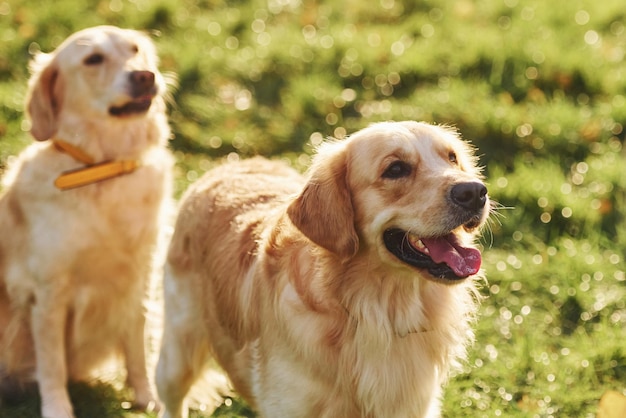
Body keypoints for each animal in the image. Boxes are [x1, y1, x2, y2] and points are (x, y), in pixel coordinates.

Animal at [0, 26, 172, 418]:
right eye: (93, 59)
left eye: (134, 49)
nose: (145, 76)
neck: (104, 169)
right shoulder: (48, 292)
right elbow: (52, 364)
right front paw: (57, 408)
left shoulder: (138, 280)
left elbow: (137, 350)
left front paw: (147, 397)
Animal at [155, 121, 488, 418]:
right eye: (395, 169)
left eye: (452, 158)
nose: (475, 192)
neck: (375, 311)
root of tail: (227, 166)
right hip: (177, 354)